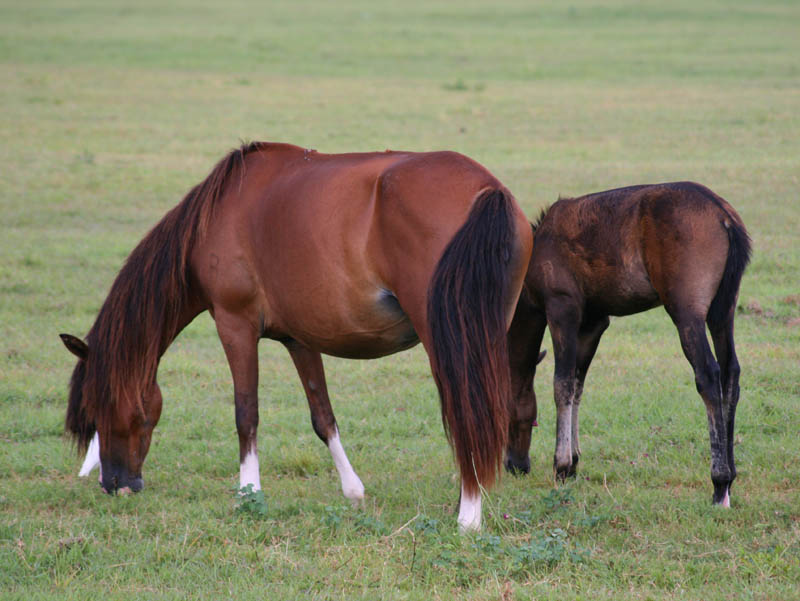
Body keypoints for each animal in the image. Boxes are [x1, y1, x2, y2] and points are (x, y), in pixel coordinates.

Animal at [61, 141, 532, 528]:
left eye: (99, 404)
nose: (114, 484)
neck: (220, 212)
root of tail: (487, 190)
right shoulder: (300, 339)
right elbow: (322, 416)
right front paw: (353, 491)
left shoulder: (234, 325)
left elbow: (246, 413)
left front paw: (248, 494)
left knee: (466, 411)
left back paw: (468, 514)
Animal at [506, 182, 752, 506]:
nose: (515, 464)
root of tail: (725, 217)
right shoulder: (594, 322)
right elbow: (578, 386)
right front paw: (574, 460)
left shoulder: (562, 308)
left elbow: (562, 384)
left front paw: (561, 464)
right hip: (723, 310)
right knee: (730, 373)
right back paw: (731, 477)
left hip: (687, 310)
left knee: (708, 376)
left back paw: (720, 482)